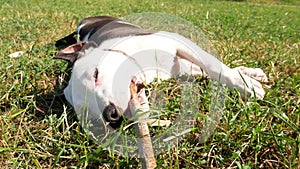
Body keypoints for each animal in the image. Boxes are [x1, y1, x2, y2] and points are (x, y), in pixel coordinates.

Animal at [54, 15, 268, 130]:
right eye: (87, 113)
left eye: (96, 74)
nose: (111, 114)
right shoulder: (180, 68)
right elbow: (208, 69)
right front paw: (245, 81)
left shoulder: (176, 42)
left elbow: (215, 66)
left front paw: (247, 86)